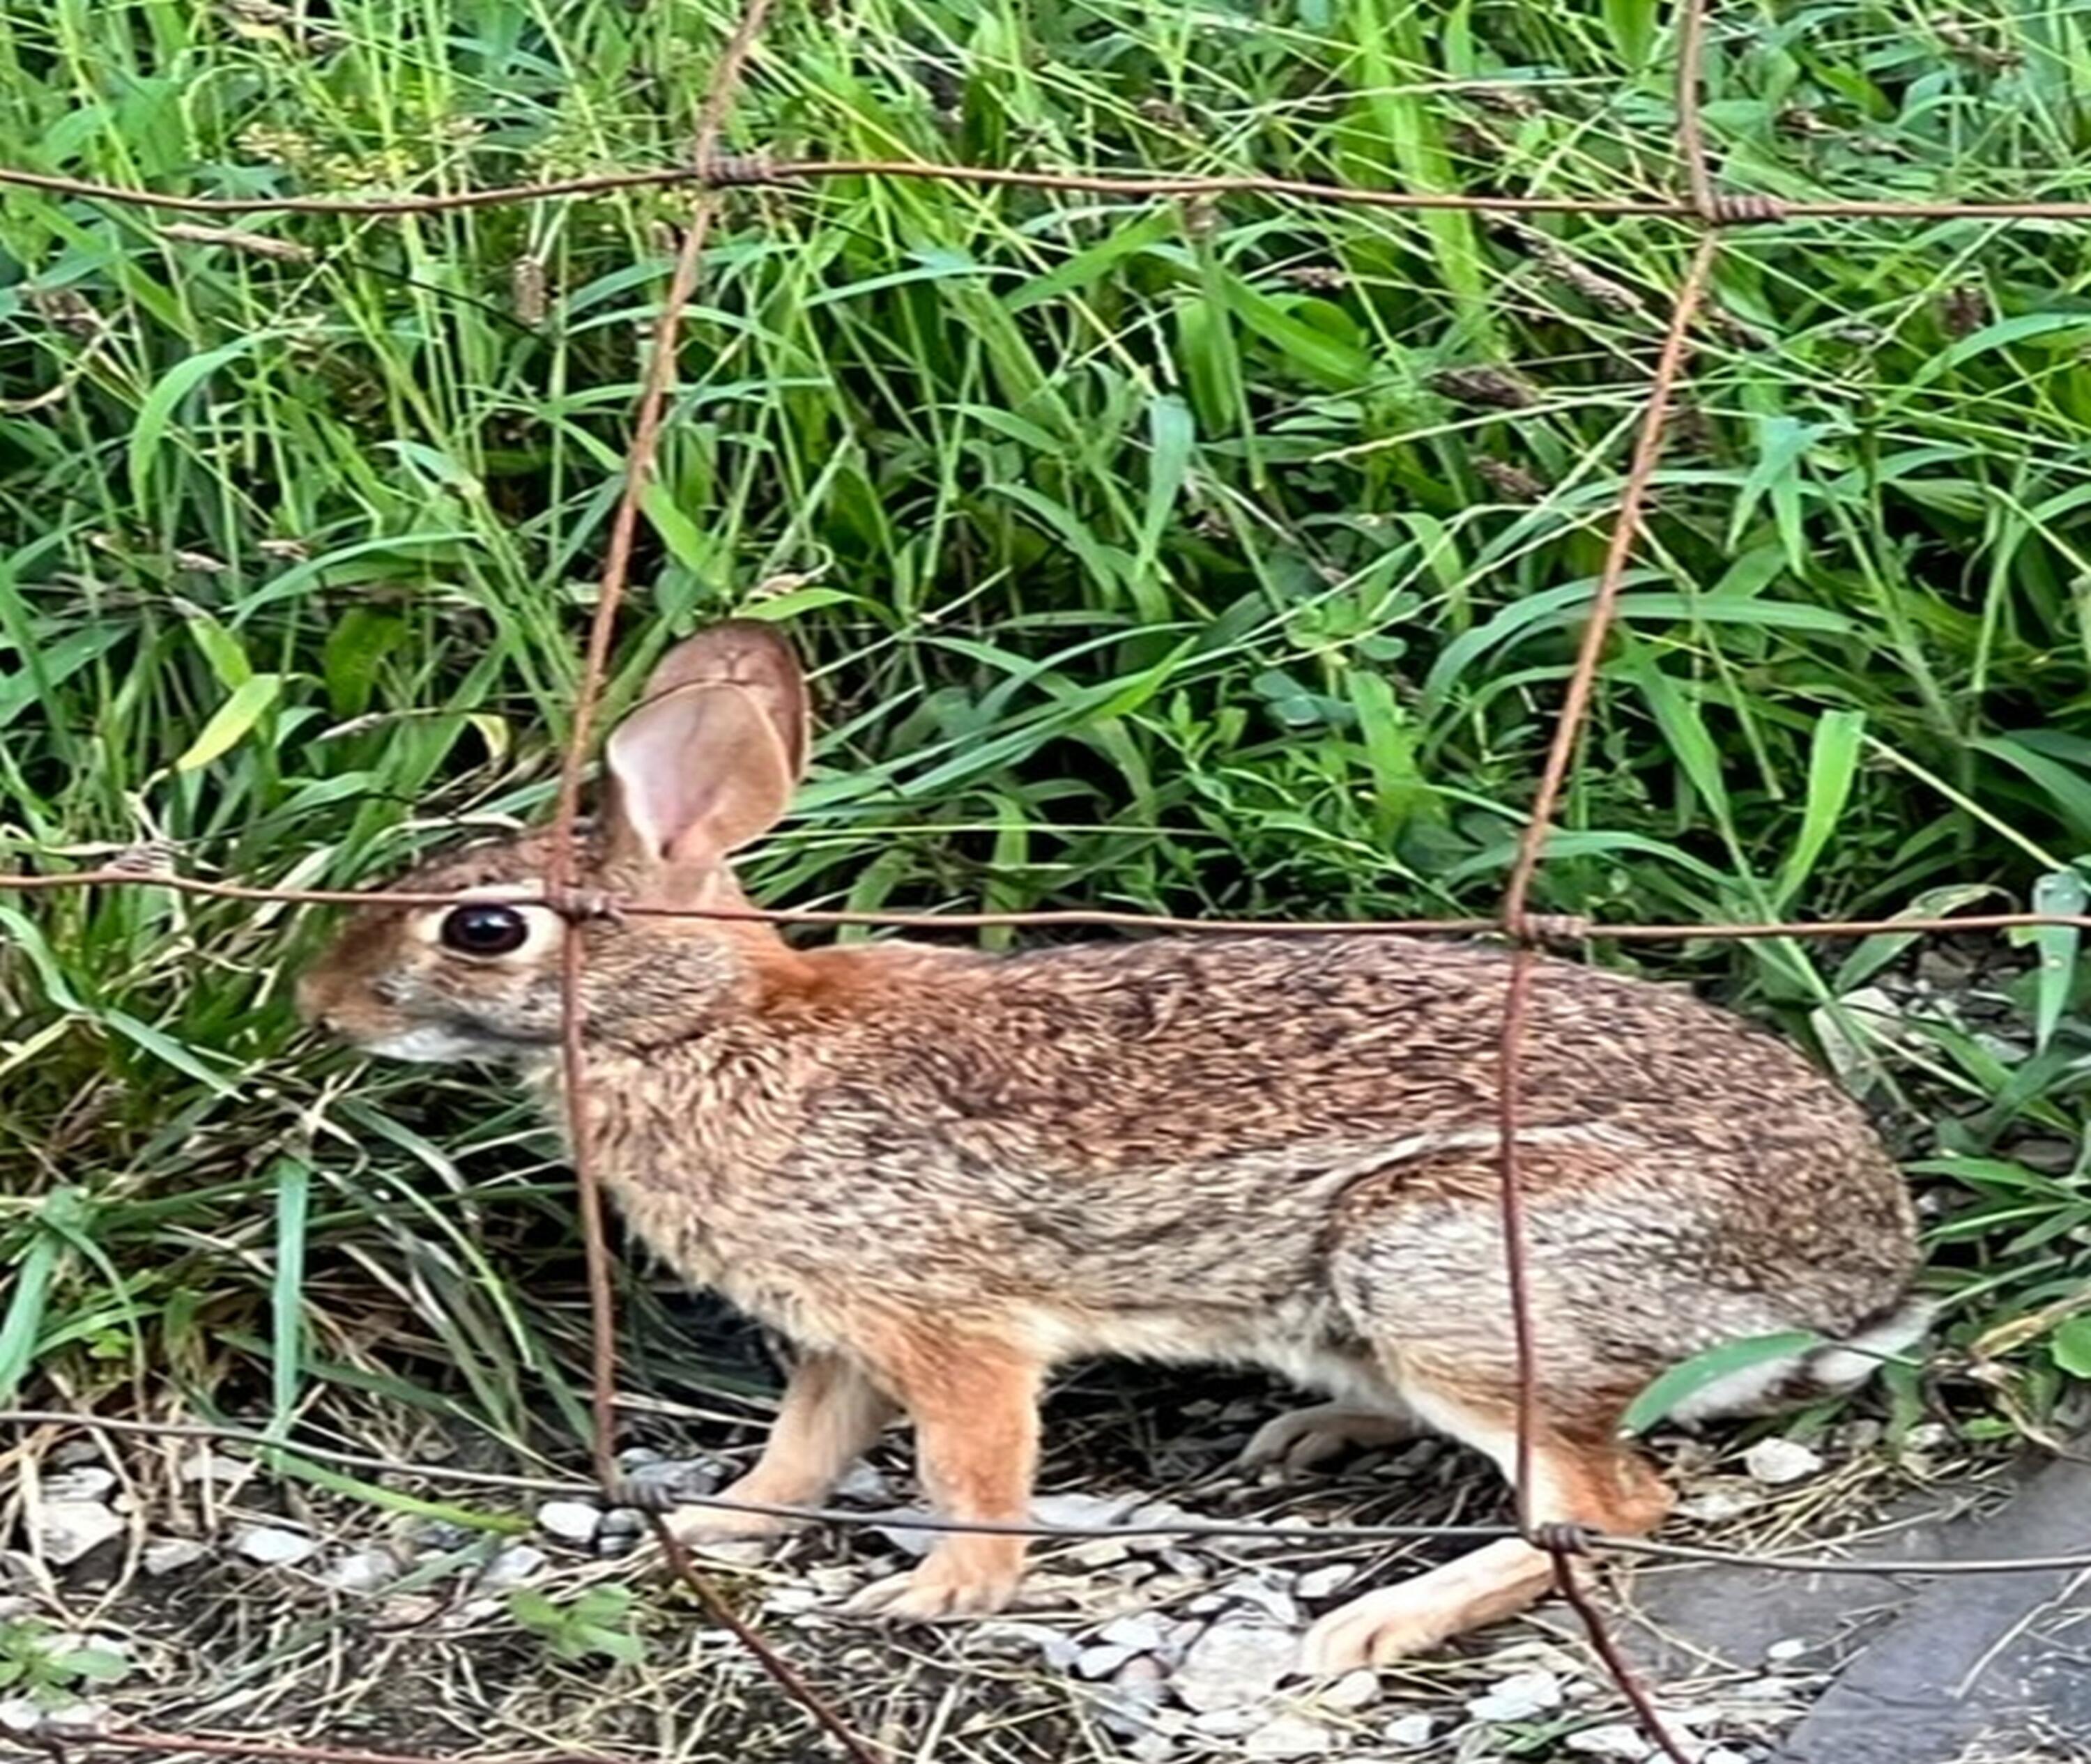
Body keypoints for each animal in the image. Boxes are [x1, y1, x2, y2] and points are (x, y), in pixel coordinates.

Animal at [296, 618, 1930, 1673]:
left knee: (1608, 1506)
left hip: (1448, 1261)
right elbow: (797, 1455)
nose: (322, 1004)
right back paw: (1319, 1437)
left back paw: (1374, 1620)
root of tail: (1854, 1280)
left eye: (483, 927)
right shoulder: (839, 1336)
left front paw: (938, 1596)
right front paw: (694, 1536)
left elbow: (975, 1463)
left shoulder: (951, 1325)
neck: (703, 1025)